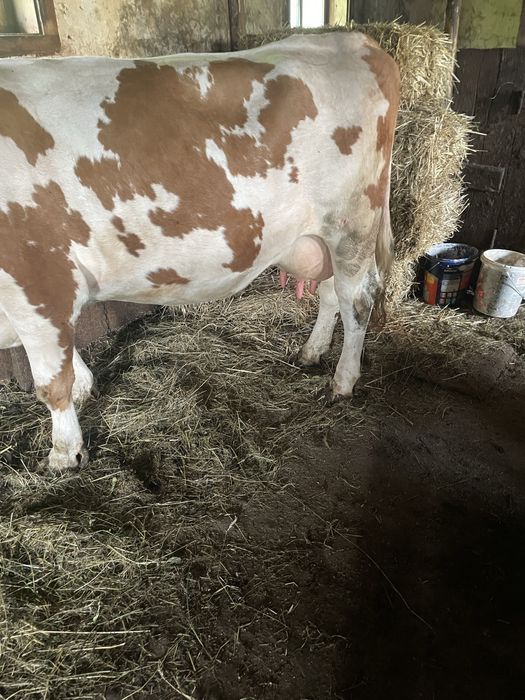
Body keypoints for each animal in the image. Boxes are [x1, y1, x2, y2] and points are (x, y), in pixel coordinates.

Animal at [0, 32, 399, 471]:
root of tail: (354, 39)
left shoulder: (36, 279)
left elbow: (51, 381)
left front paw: (64, 453)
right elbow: (68, 359)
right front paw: (86, 392)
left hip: (352, 222)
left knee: (357, 299)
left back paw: (342, 382)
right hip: (320, 235)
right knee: (330, 293)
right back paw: (311, 352)